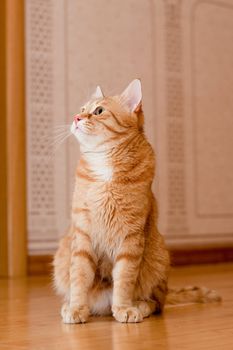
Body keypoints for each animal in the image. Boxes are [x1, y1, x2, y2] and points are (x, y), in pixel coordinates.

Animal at [52, 79, 220, 322]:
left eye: (99, 111)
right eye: (82, 109)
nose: (76, 117)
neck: (104, 164)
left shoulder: (130, 237)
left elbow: (124, 279)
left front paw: (124, 308)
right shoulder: (83, 235)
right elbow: (79, 276)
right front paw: (76, 308)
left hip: (158, 256)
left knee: (157, 303)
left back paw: (139, 306)